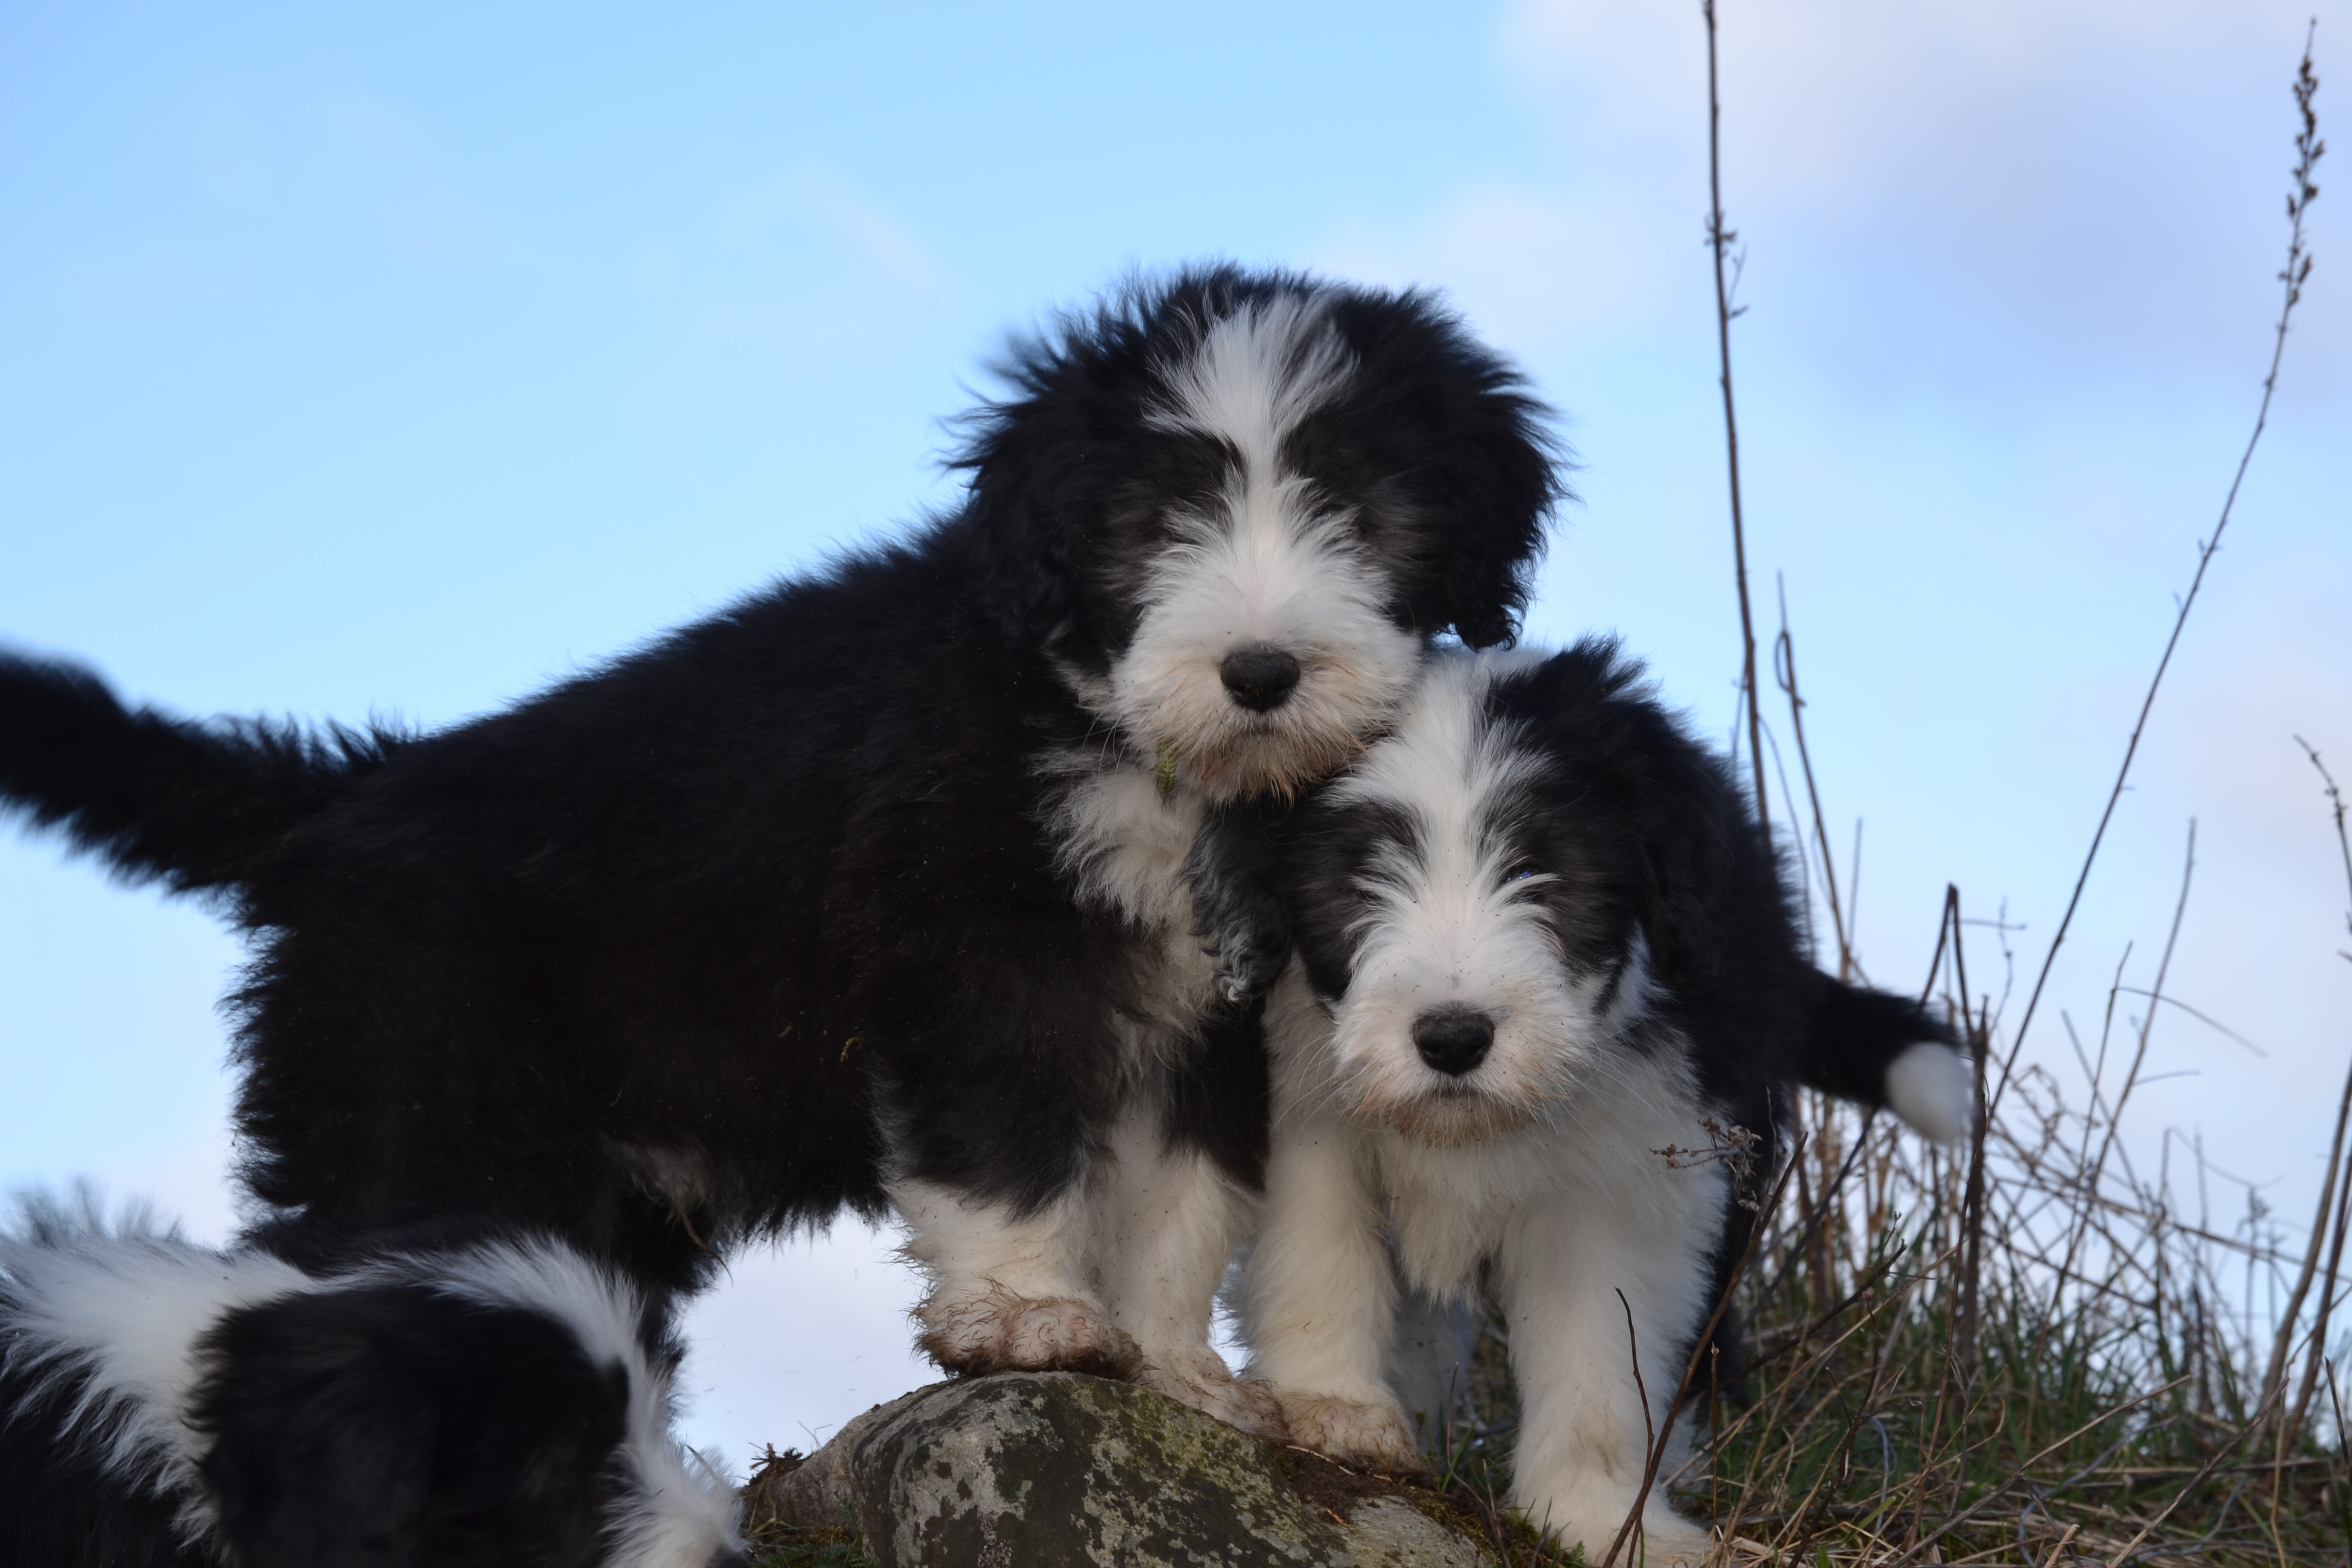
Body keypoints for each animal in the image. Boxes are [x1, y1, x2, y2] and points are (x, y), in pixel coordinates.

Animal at [0, 267, 1562, 1557]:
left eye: (1361, 512)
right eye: (1150, 525)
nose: (1259, 670)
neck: (1129, 742)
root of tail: (363, 789)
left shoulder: (1225, 1003)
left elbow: (1187, 1193)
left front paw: (1177, 1367)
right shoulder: (970, 936)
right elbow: (1003, 1137)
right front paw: (1029, 1311)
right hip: (418, 1099)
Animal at [1236, 642, 1973, 1564]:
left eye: (1540, 873)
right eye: (1361, 882)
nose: (1452, 1038)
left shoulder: (1628, 1177)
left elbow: (1599, 1355)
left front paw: (1603, 1523)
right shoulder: (1299, 1103)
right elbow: (1319, 1251)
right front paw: (1333, 1410)